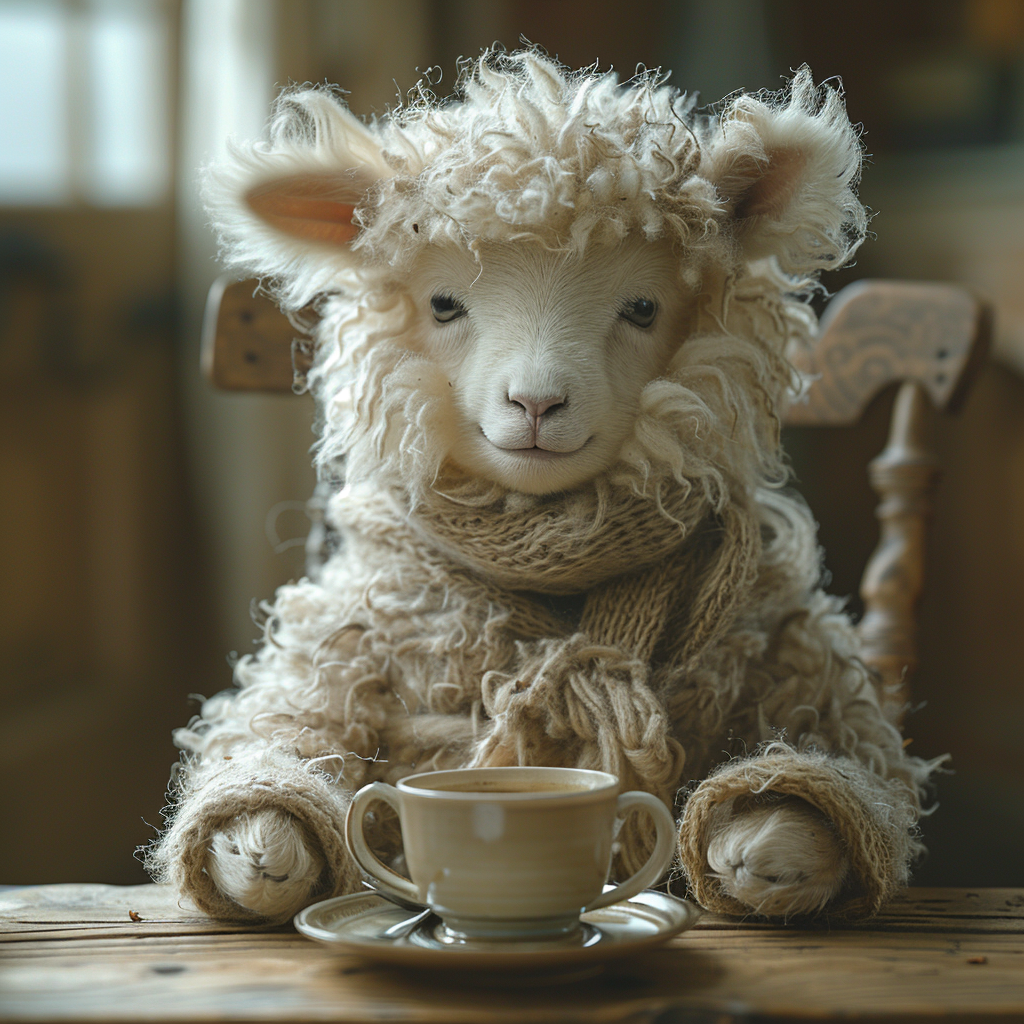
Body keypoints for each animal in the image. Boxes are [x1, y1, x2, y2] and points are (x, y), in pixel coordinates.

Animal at [144, 51, 937, 925]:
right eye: (444, 303)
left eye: (642, 306)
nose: (536, 403)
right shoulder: (355, 634)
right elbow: (284, 725)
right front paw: (260, 843)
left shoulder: (788, 641)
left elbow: (847, 750)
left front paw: (775, 840)